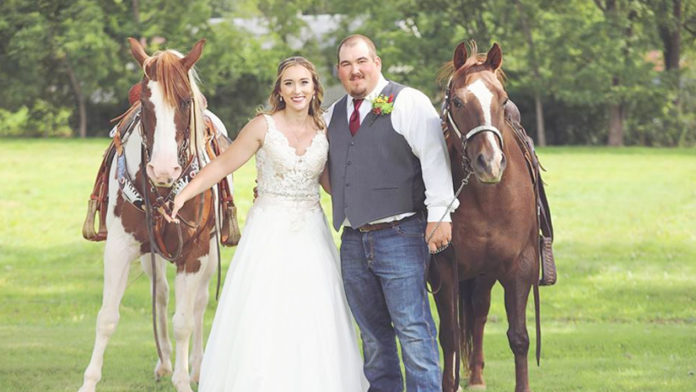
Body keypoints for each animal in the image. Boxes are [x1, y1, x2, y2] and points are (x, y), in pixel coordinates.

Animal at [77, 39, 232, 392]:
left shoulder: (194, 253)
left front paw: (184, 380)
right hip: (152, 254)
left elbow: (184, 322)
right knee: (160, 294)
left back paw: (197, 367)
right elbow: (107, 317)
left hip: (208, 252)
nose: (162, 169)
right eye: (146, 104)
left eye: (185, 101)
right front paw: (89, 382)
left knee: (200, 302)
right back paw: (164, 362)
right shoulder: (120, 248)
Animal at [430, 40, 548, 392]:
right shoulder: (445, 267)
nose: (490, 163)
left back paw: (478, 377)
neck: (488, 199)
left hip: (485, 273)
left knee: (479, 313)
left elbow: (520, 338)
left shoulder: (520, 266)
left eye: (503, 99)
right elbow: (450, 337)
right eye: (457, 101)